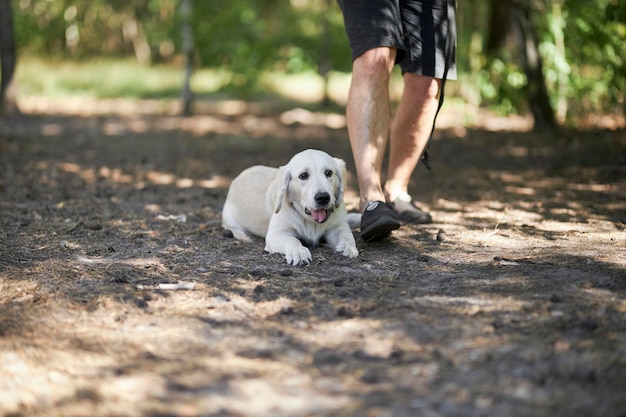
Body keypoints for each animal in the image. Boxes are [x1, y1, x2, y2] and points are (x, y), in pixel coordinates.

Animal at [221, 150, 356, 264]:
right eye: (303, 175)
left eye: (328, 173)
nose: (323, 198)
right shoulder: (275, 233)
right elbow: (292, 240)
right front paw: (299, 252)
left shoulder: (338, 226)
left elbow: (346, 234)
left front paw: (348, 247)